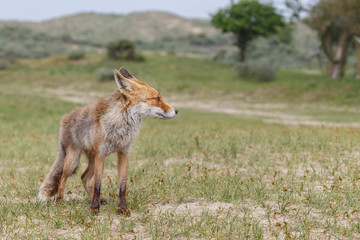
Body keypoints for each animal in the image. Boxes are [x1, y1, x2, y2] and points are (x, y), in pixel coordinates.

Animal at [38, 67, 178, 214]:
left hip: (92, 161)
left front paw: (122, 209)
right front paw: (94, 208)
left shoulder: (123, 153)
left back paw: (97, 199)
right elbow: (98, 184)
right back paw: (58, 201)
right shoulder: (101, 155)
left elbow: (122, 185)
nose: (176, 111)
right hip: (73, 161)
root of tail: (66, 117)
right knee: (62, 178)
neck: (119, 126)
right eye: (157, 98)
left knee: (83, 177)